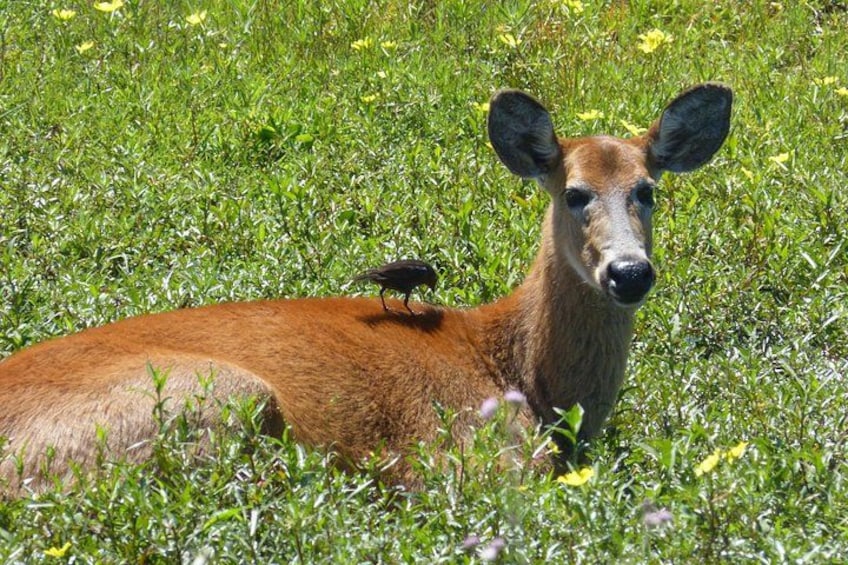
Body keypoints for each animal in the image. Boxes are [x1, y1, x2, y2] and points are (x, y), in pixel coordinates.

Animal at [0, 84, 732, 494]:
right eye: (575, 193)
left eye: (647, 189)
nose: (629, 272)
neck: (521, 371)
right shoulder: (480, 457)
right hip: (216, 398)